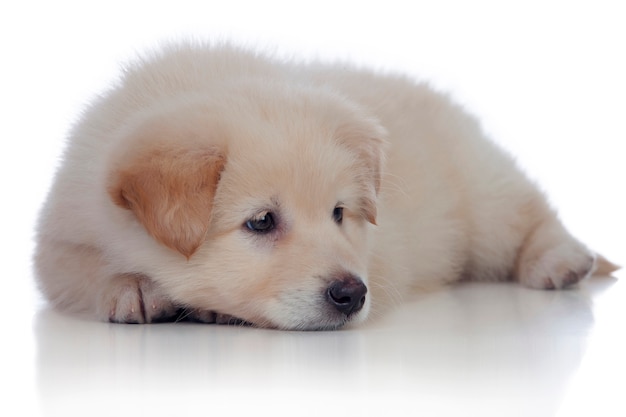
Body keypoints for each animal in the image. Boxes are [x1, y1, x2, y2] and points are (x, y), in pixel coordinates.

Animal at [33, 41, 616, 328]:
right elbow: (81, 268)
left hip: (483, 195)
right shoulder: (60, 238)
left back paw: (561, 261)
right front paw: (132, 286)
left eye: (339, 214)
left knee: (531, 214)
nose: (351, 294)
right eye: (261, 222)